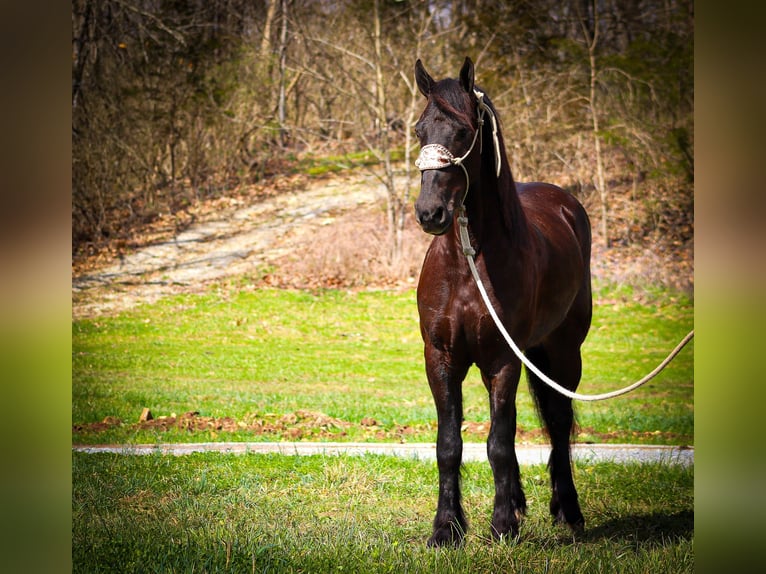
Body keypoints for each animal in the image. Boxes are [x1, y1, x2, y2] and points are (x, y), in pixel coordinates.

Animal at [414, 58, 592, 548]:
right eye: (419, 130)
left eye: (462, 131)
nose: (429, 213)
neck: (468, 264)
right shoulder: (441, 358)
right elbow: (450, 444)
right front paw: (446, 528)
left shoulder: (504, 361)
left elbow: (499, 441)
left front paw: (501, 526)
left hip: (562, 354)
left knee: (557, 423)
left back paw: (568, 511)